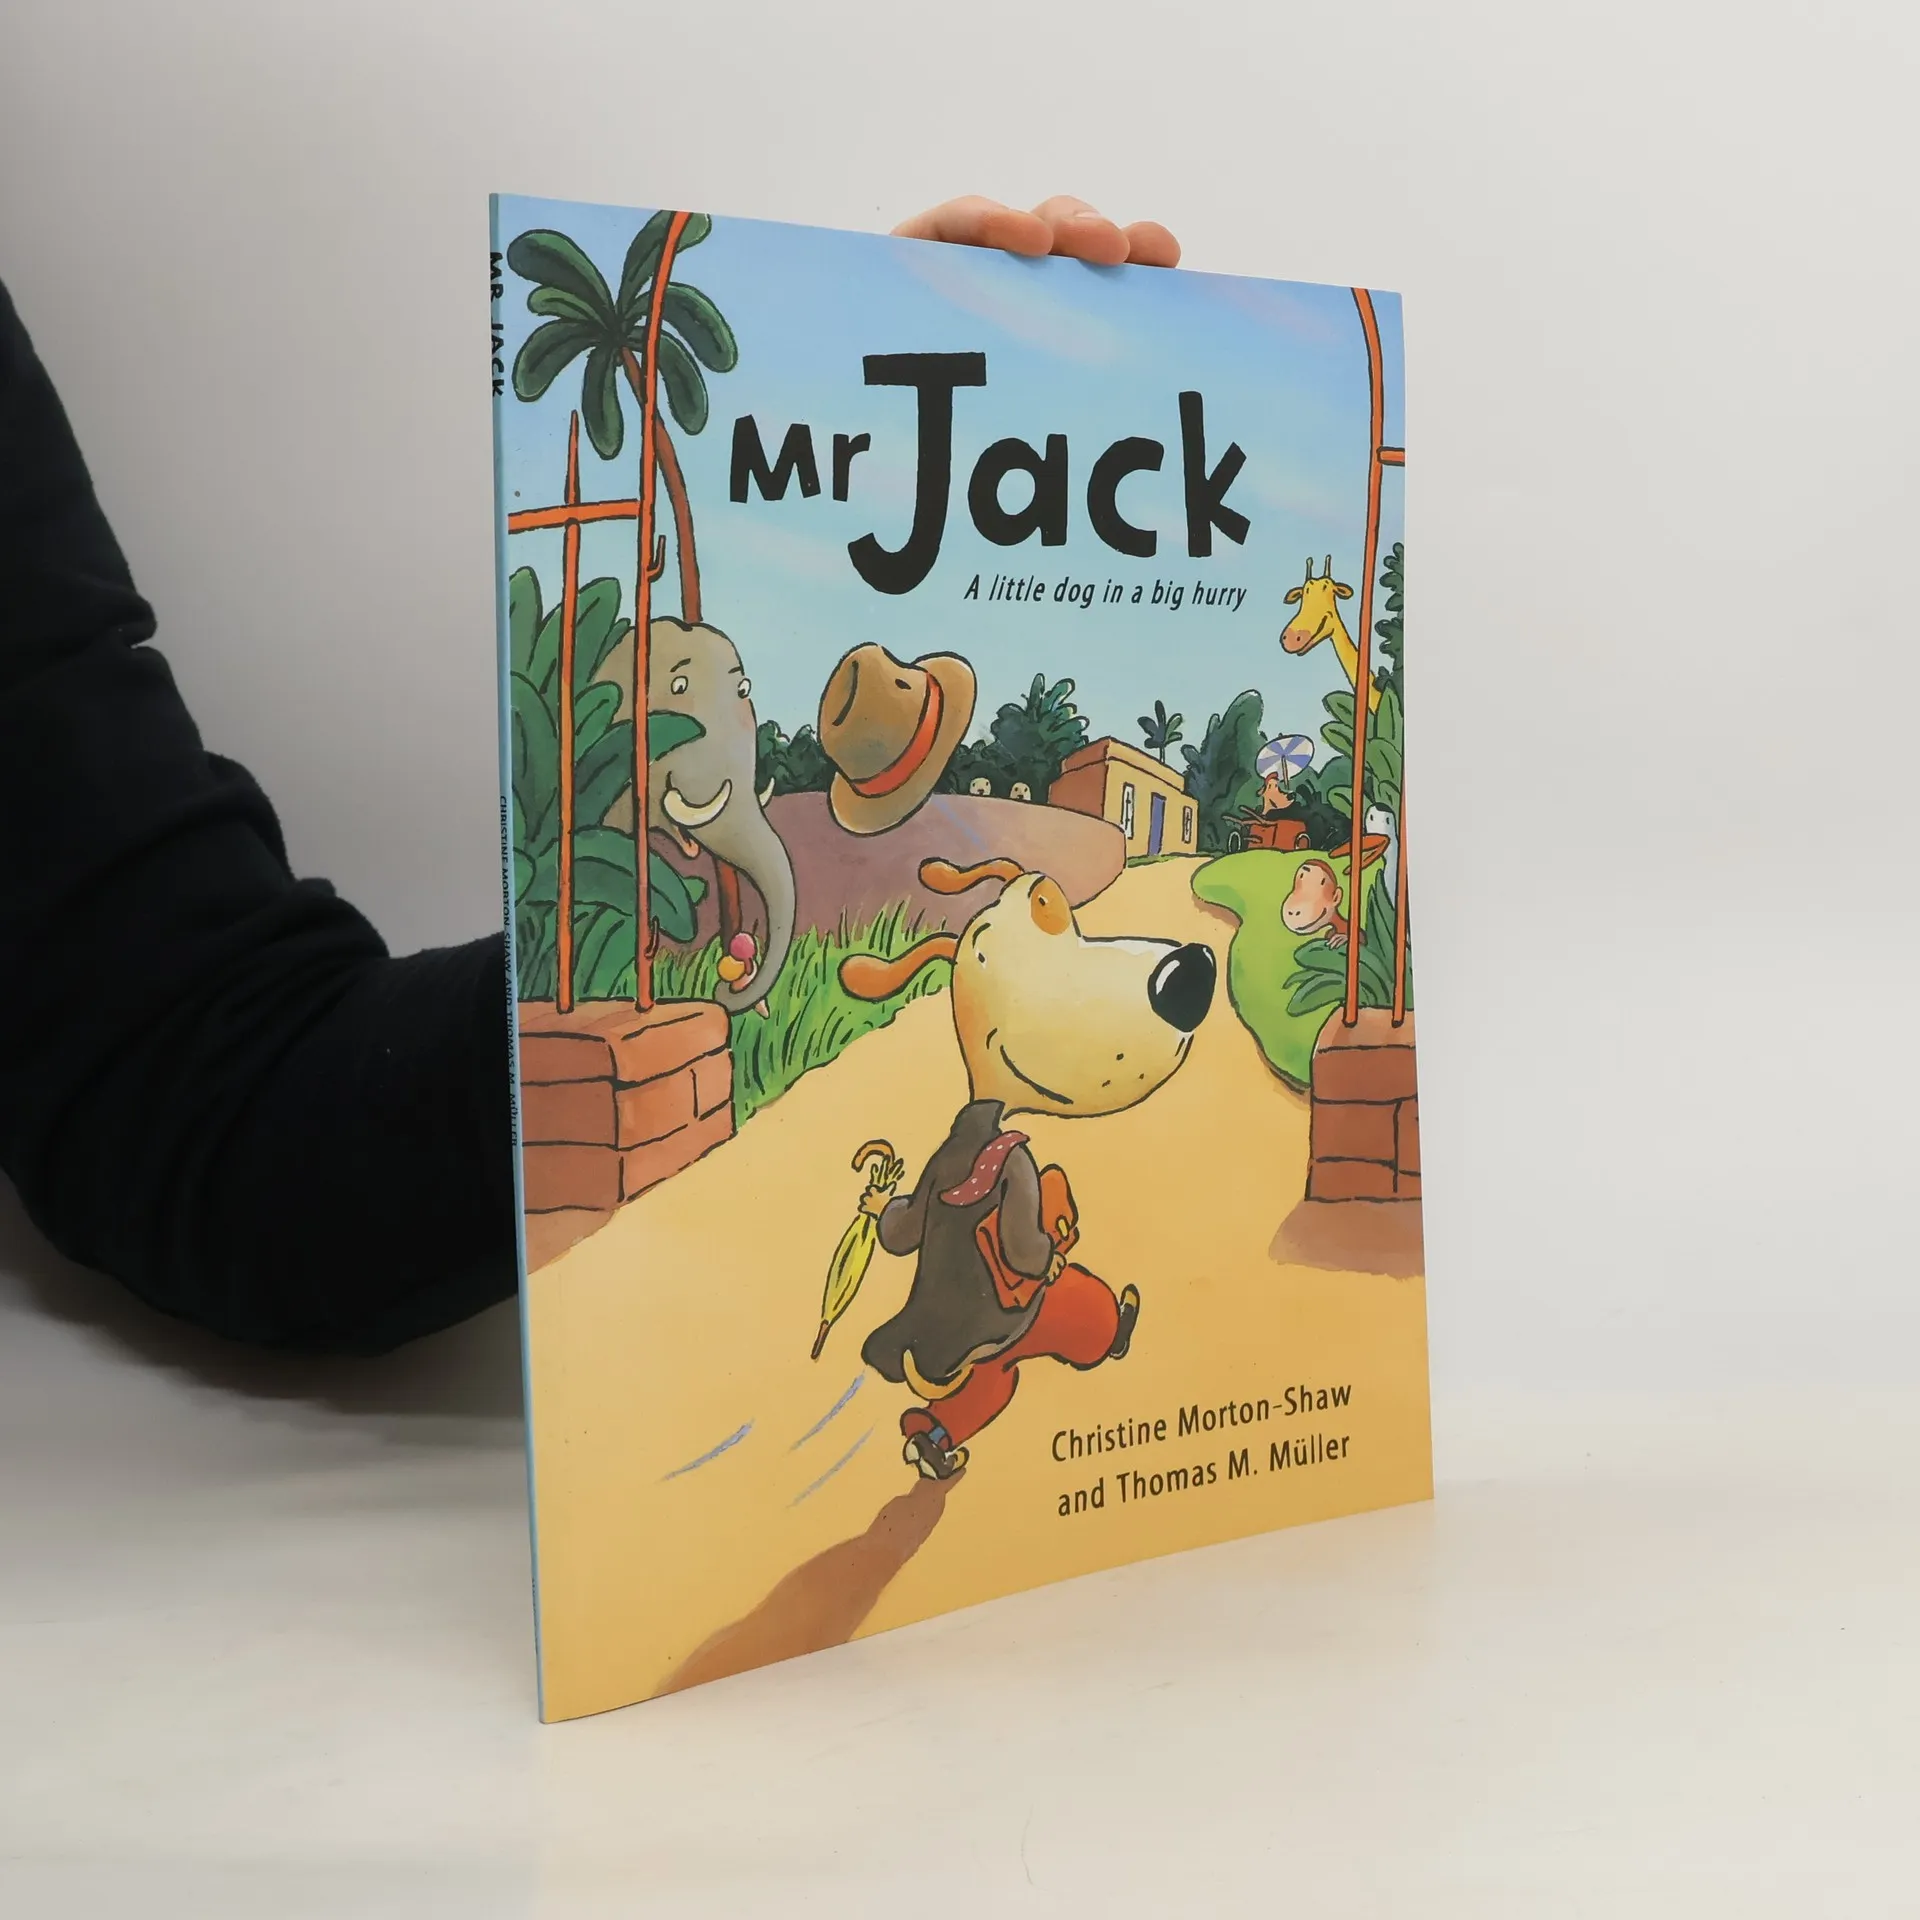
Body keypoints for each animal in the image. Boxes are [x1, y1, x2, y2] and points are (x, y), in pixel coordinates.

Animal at [839, 856, 1216, 1479]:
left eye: (1049, 902)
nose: (1191, 973)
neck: (985, 1113)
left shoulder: (933, 1172)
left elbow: (902, 1229)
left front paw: (876, 1203)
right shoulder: (1017, 1169)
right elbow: (1026, 1245)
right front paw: (1059, 1250)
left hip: (987, 1365)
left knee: (982, 1393)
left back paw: (928, 1447)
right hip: (1049, 1320)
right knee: (1087, 1322)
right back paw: (1122, 1320)